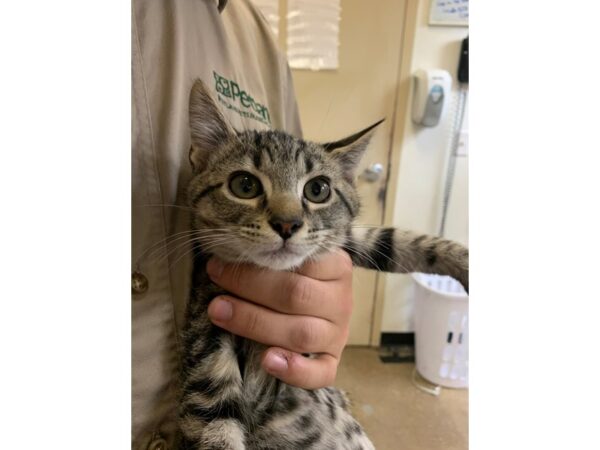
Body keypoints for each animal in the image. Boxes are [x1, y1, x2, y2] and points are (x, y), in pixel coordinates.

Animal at [178, 79, 468, 448]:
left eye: (318, 189)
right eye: (244, 185)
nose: (287, 224)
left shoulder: (343, 236)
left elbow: (395, 240)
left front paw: (464, 261)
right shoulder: (208, 349)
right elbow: (216, 427)